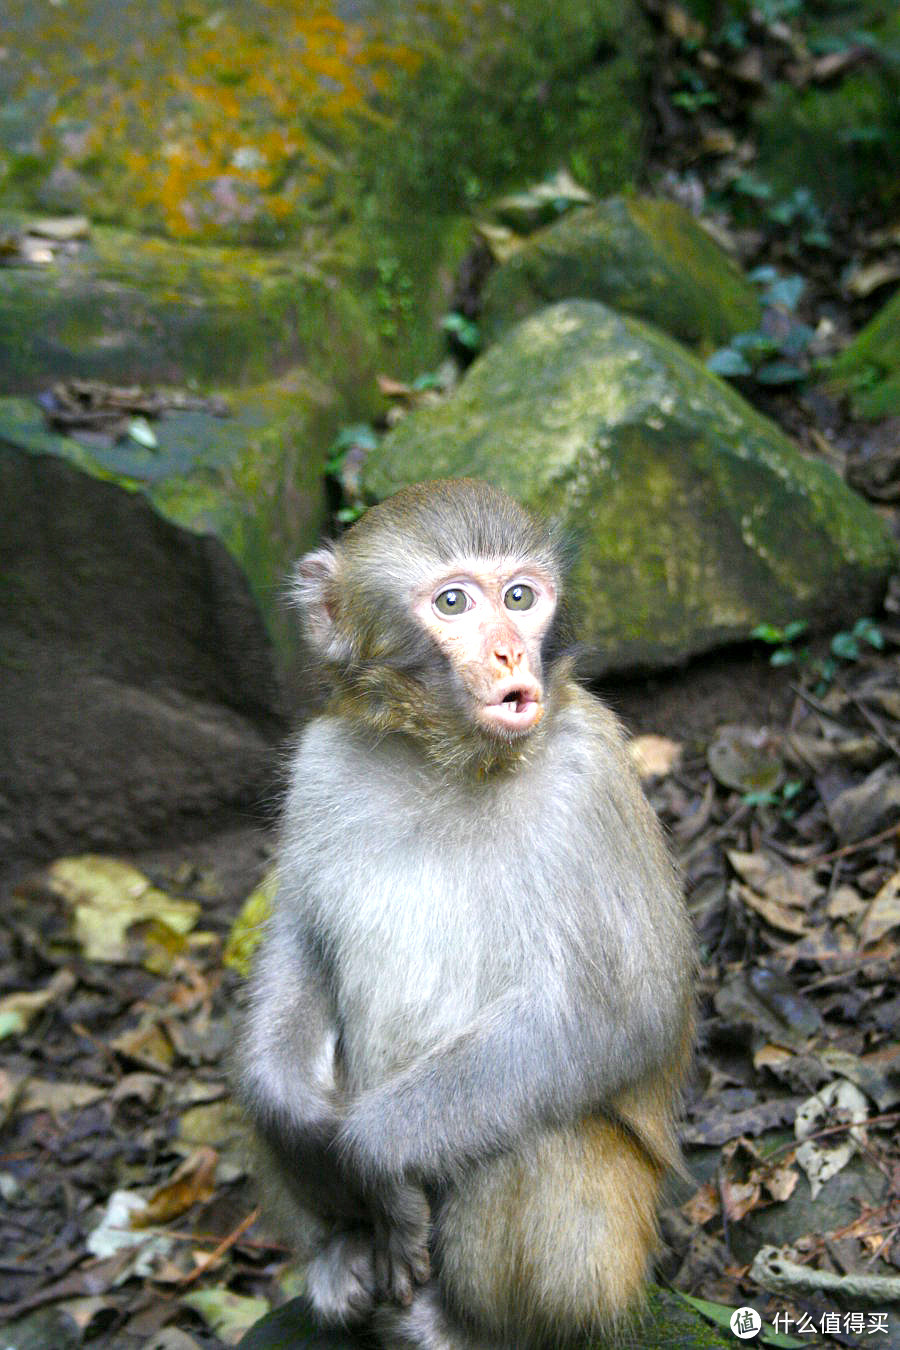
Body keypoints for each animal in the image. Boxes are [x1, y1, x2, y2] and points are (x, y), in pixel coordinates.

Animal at [236, 480, 696, 1344]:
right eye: (454, 602)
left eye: (520, 598)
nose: (511, 653)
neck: (447, 761)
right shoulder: (325, 762)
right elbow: (301, 940)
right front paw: (291, 1106)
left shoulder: (591, 773)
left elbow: (621, 1015)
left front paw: (375, 1152)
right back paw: (341, 1256)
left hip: (614, 1243)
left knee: (537, 1131)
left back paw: (462, 1325)